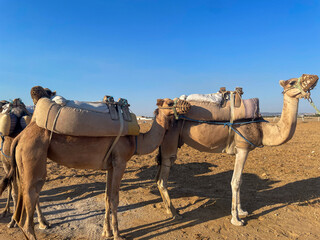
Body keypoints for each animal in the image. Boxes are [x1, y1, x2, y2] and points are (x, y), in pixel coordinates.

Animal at [154, 74, 318, 226]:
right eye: (292, 82)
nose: (314, 78)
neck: (262, 128)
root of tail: (159, 110)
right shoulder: (243, 147)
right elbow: (236, 181)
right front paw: (236, 219)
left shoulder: (241, 150)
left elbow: (241, 180)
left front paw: (242, 211)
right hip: (170, 140)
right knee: (163, 178)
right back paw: (175, 214)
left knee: (159, 176)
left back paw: (169, 209)